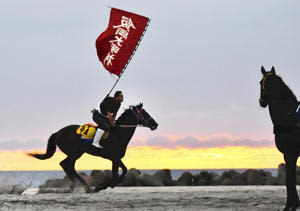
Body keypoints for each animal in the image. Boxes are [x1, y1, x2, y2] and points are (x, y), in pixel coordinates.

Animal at [27, 103, 158, 192]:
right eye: (145, 113)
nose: (155, 124)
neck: (118, 134)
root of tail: (58, 132)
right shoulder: (114, 158)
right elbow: (115, 174)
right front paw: (101, 186)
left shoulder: (116, 158)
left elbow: (124, 170)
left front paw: (109, 185)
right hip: (74, 153)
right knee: (65, 164)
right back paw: (82, 185)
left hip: (77, 153)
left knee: (68, 165)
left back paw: (80, 185)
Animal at [260, 66, 300, 211]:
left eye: (261, 82)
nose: (261, 102)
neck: (288, 117)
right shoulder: (290, 156)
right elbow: (291, 181)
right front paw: (294, 204)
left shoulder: (290, 154)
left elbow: (290, 182)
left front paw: (290, 206)